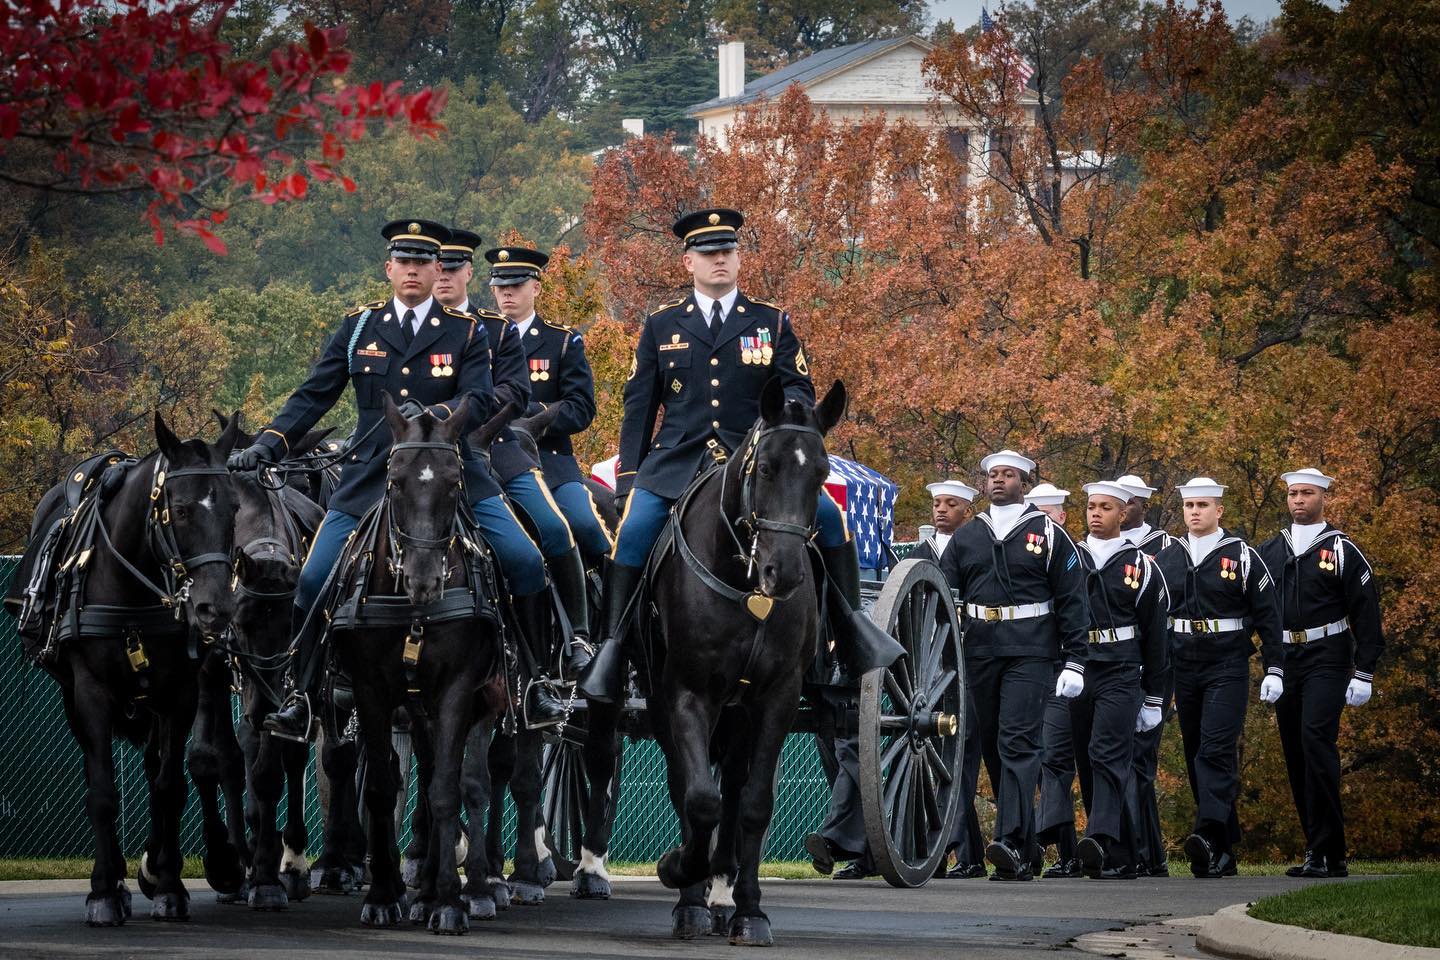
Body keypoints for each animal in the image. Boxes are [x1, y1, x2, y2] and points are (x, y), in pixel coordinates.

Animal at [8, 414, 243, 921]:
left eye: (235, 507)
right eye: (179, 509)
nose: (215, 608)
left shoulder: (179, 694)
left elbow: (170, 786)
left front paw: (170, 884)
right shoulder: (91, 692)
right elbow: (101, 789)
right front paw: (103, 889)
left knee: (158, 766)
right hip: (71, 694)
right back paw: (116, 874)